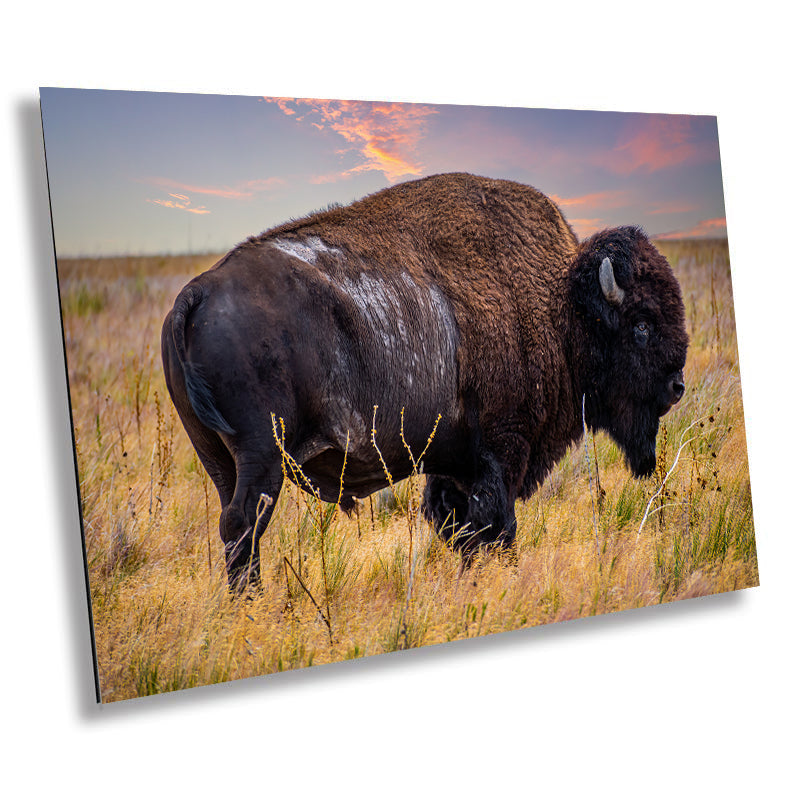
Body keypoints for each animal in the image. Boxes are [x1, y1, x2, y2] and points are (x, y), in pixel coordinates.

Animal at [161, 172, 688, 591]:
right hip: (262, 456)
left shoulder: (453, 462)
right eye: (642, 324)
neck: (561, 305)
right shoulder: (502, 449)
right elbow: (495, 526)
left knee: (231, 523)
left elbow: (457, 525)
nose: (677, 387)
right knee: (244, 524)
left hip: (219, 461)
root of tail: (197, 293)